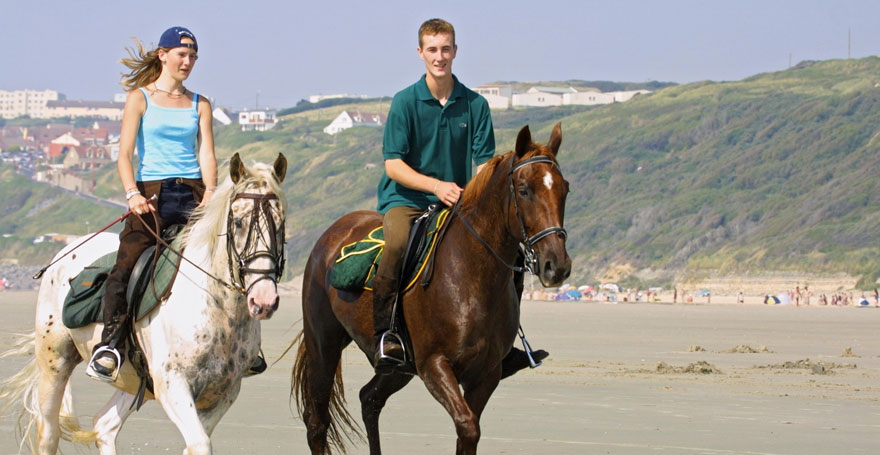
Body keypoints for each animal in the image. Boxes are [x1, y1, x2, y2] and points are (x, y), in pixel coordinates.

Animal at [292, 123, 576, 454]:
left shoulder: (486, 373)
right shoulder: (434, 365)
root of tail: (334, 232)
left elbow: (468, 433)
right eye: (524, 189)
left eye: (564, 189)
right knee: (317, 421)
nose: (556, 265)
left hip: (396, 370)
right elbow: (467, 426)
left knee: (369, 400)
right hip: (323, 345)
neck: (471, 277)